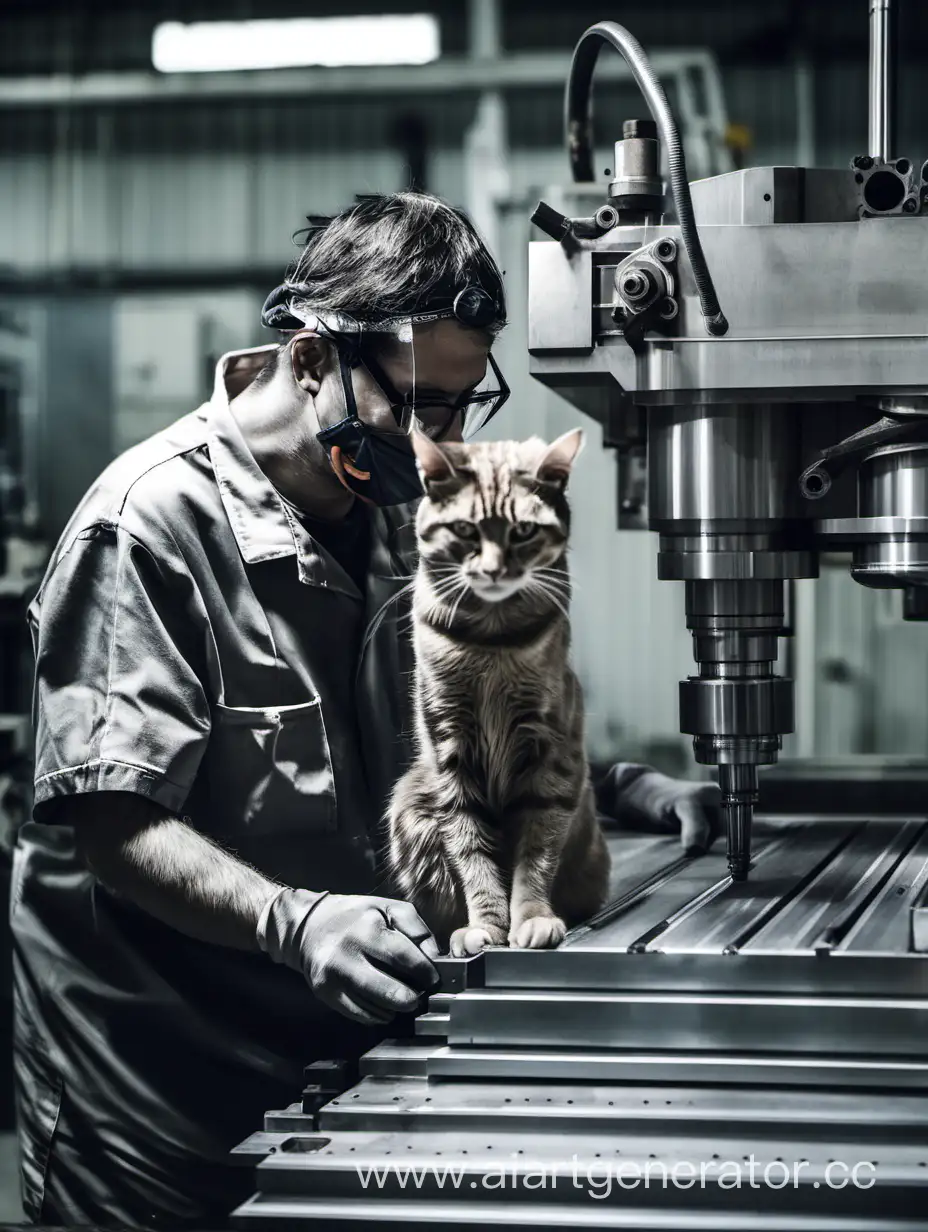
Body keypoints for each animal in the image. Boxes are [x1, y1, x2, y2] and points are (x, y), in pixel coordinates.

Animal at [384, 428, 608, 956]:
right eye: (466, 530)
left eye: (523, 531)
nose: (492, 570)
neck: (491, 642)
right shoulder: (449, 750)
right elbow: (471, 850)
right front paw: (486, 924)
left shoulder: (550, 753)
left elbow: (536, 851)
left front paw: (534, 918)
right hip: (411, 800)